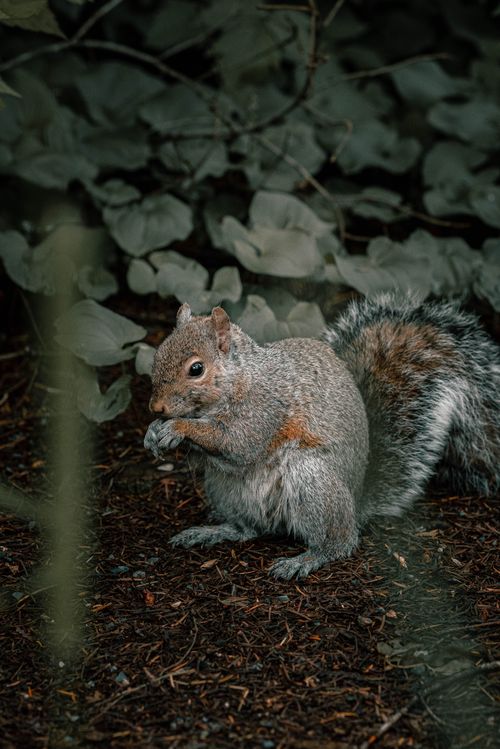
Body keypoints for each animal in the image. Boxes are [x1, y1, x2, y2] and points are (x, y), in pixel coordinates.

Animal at [144, 294, 500, 580]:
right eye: (157, 354)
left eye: (196, 369)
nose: (155, 407)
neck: (242, 378)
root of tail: (357, 500)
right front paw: (152, 433)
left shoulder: (265, 408)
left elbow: (237, 443)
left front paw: (178, 427)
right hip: (225, 490)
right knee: (248, 528)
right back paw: (211, 532)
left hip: (311, 480)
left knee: (339, 541)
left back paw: (306, 559)